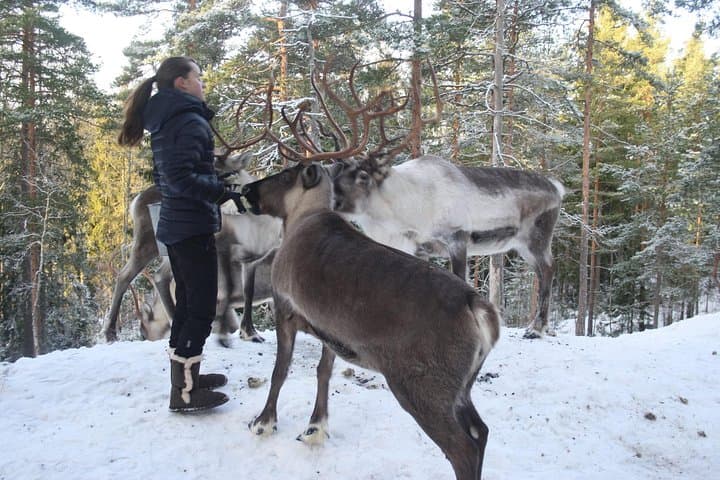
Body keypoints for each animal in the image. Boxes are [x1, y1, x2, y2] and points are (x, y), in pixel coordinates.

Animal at [103, 151, 282, 345]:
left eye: (228, 173)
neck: (256, 226)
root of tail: (135, 201)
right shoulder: (222, 252)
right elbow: (225, 291)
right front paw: (226, 332)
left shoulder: (250, 260)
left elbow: (248, 292)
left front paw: (250, 333)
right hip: (147, 242)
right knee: (125, 275)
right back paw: (110, 333)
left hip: (171, 252)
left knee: (160, 276)